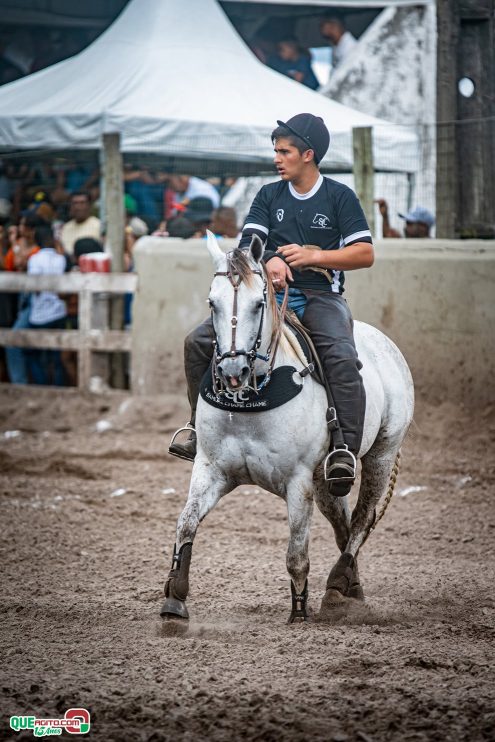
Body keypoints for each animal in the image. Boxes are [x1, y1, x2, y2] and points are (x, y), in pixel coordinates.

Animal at [162, 232, 414, 620]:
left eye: (258, 303)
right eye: (211, 302)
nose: (232, 372)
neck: (251, 401)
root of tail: (387, 345)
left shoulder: (297, 482)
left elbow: (297, 554)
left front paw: (299, 611)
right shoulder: (211, 469)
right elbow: (186, 523)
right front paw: (174, 598)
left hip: (381, 455)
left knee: (362, 519)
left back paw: (337, 586)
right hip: (325, 480)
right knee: (342, 523)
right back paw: (351, 587)